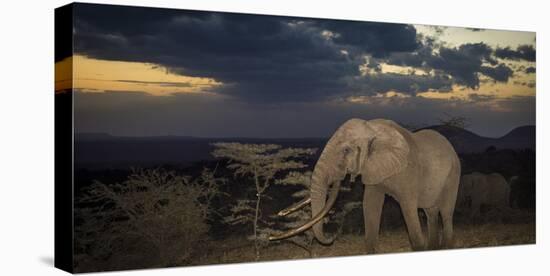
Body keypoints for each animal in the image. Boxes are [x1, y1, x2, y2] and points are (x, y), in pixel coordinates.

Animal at [270, 118, 462, 252]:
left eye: (346, 150)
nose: (331, 238)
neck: (372, 128)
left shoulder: (408, 170)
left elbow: (407, 207)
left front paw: (419, 249)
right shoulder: (373, 169)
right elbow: (370, 204)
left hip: (454, 173)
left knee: (446, 211)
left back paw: (446, 247)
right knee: (430, 211)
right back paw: (434, 248)